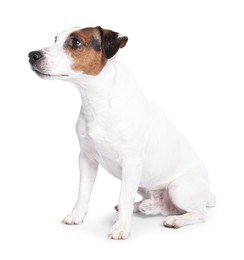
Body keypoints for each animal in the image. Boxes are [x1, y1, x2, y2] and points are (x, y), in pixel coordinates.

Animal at [28, 25, 215, 240]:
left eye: (76, 42)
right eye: (55, 39)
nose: (32, 55)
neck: (99, 102)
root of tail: (208, 194)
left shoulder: (131, 164)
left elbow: (124, 196)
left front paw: (121, 228)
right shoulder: (86, 159)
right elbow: (83, 191)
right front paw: (77, 215)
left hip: (179, 188)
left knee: (199, 214)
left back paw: (176, 219)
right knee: (161, 205)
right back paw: (145, 205)